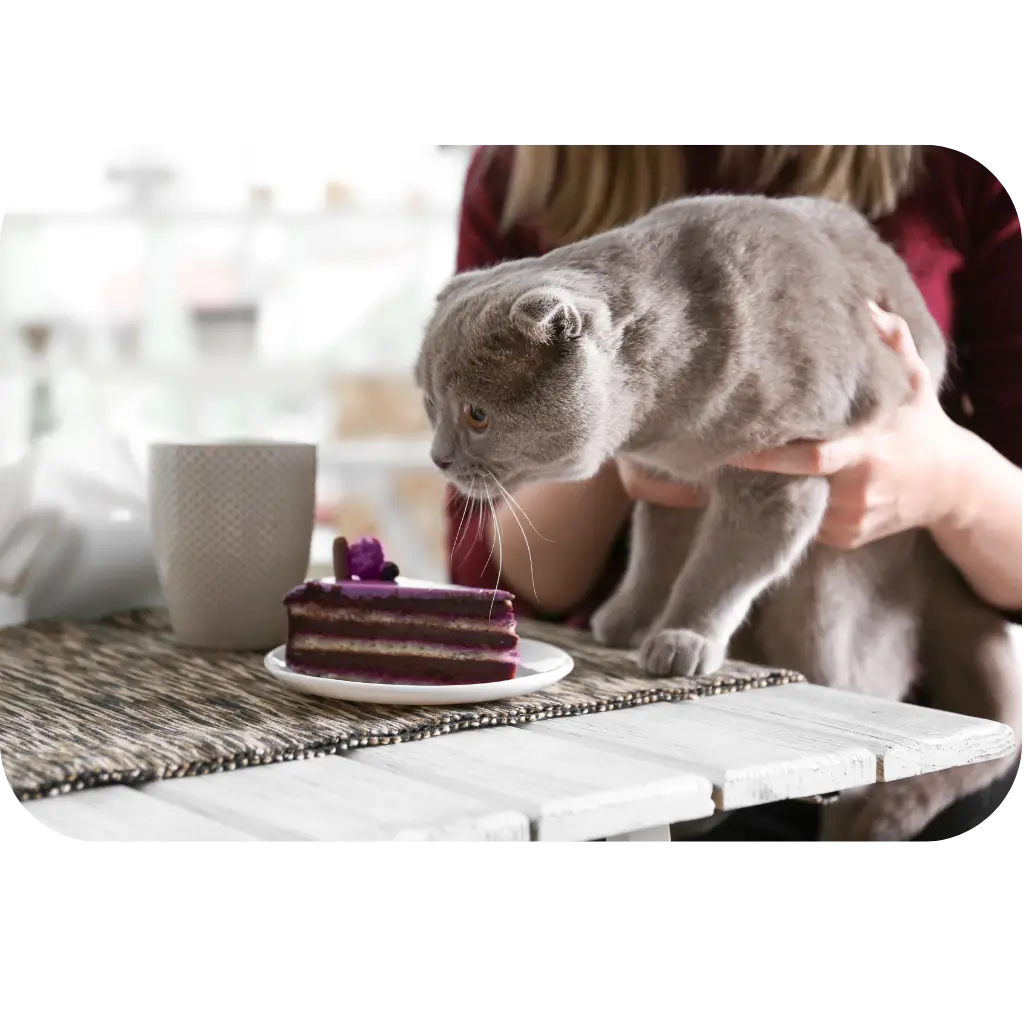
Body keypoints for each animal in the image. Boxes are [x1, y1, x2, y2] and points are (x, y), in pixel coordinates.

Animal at [411, 193, 1019, 847]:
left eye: (476, 415)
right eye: (430, 405)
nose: (437, 457)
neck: (665, 421)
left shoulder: (778, 478)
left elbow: (720, 569)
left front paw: (683, 638)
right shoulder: (667, 482)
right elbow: (656, 552)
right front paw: (629, 620)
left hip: (835, 588)